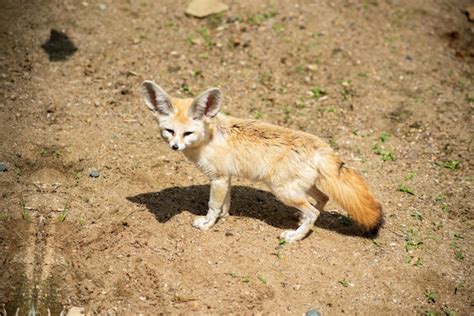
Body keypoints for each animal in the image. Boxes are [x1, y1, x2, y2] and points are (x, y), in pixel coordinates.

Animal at [141, 81, 382, 242]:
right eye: (169, 131)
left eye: (188, 133)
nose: (175, 147)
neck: (208, 138)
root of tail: (321, 146)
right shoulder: (226, 178)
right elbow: (225, 203)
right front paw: (224, 216)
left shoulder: (218, 179)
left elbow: (212, 205)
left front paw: (208, 224)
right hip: (302, 188)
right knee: (322, 200)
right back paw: (300, 220)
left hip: (283, 191)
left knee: (313, 212)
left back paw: (295, 236)